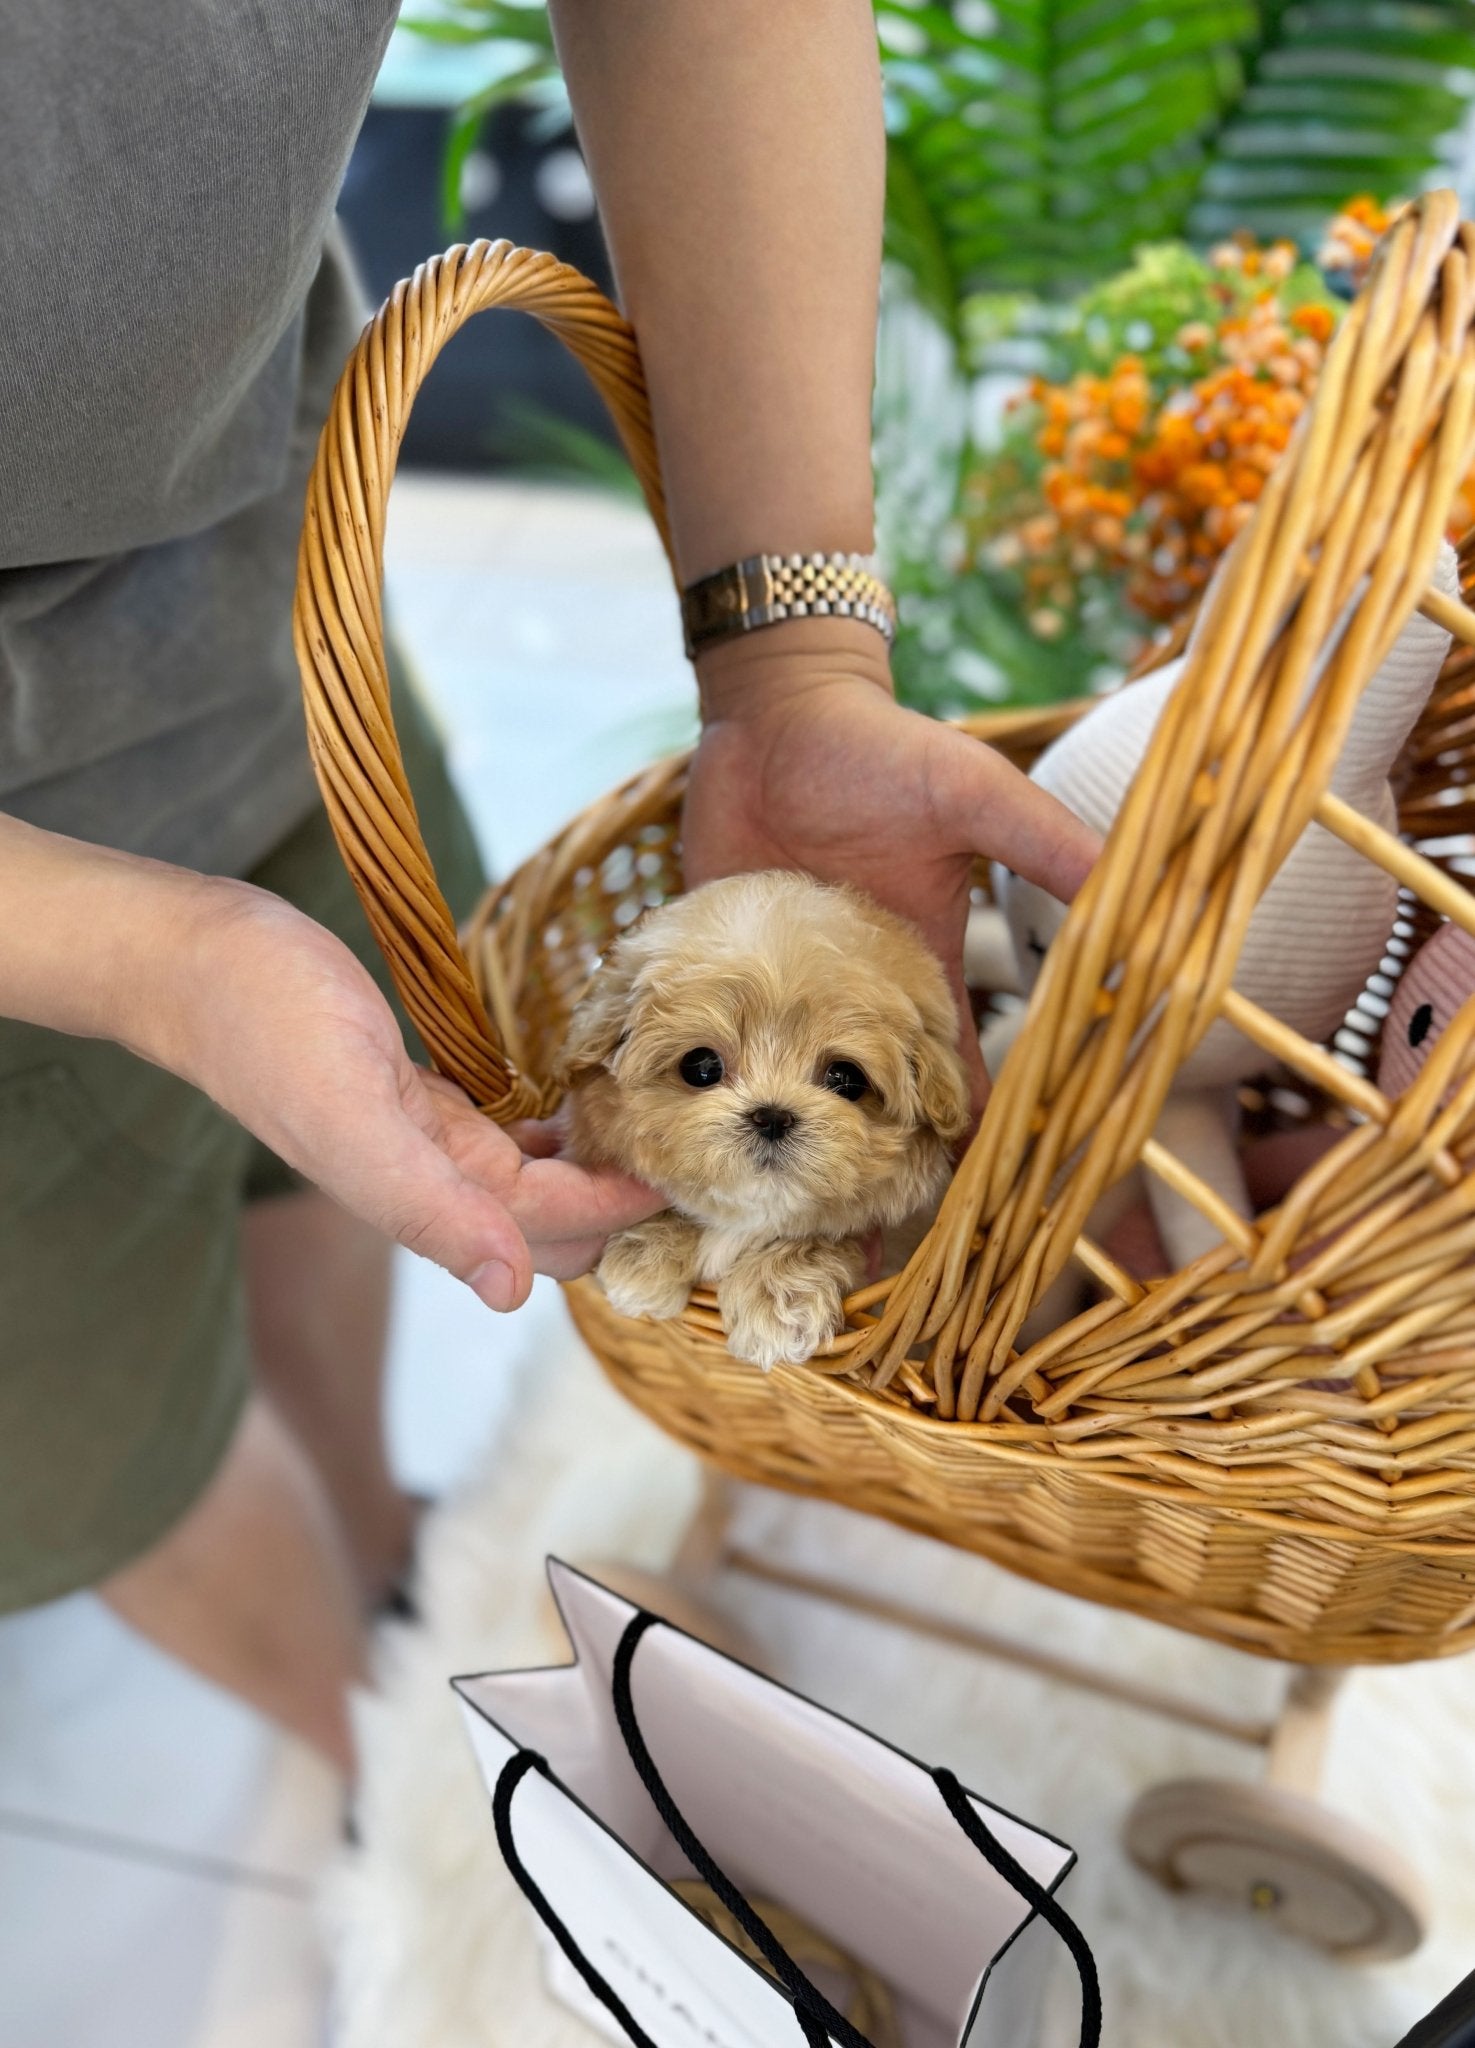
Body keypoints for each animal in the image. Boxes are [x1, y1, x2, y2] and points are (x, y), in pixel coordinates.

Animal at [557, 868, 975, 1368]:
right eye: (701, 1066)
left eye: (846, 1079)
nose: (772, 1116)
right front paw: (643, 1261)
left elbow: (828, 1234)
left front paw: (776, 1302)